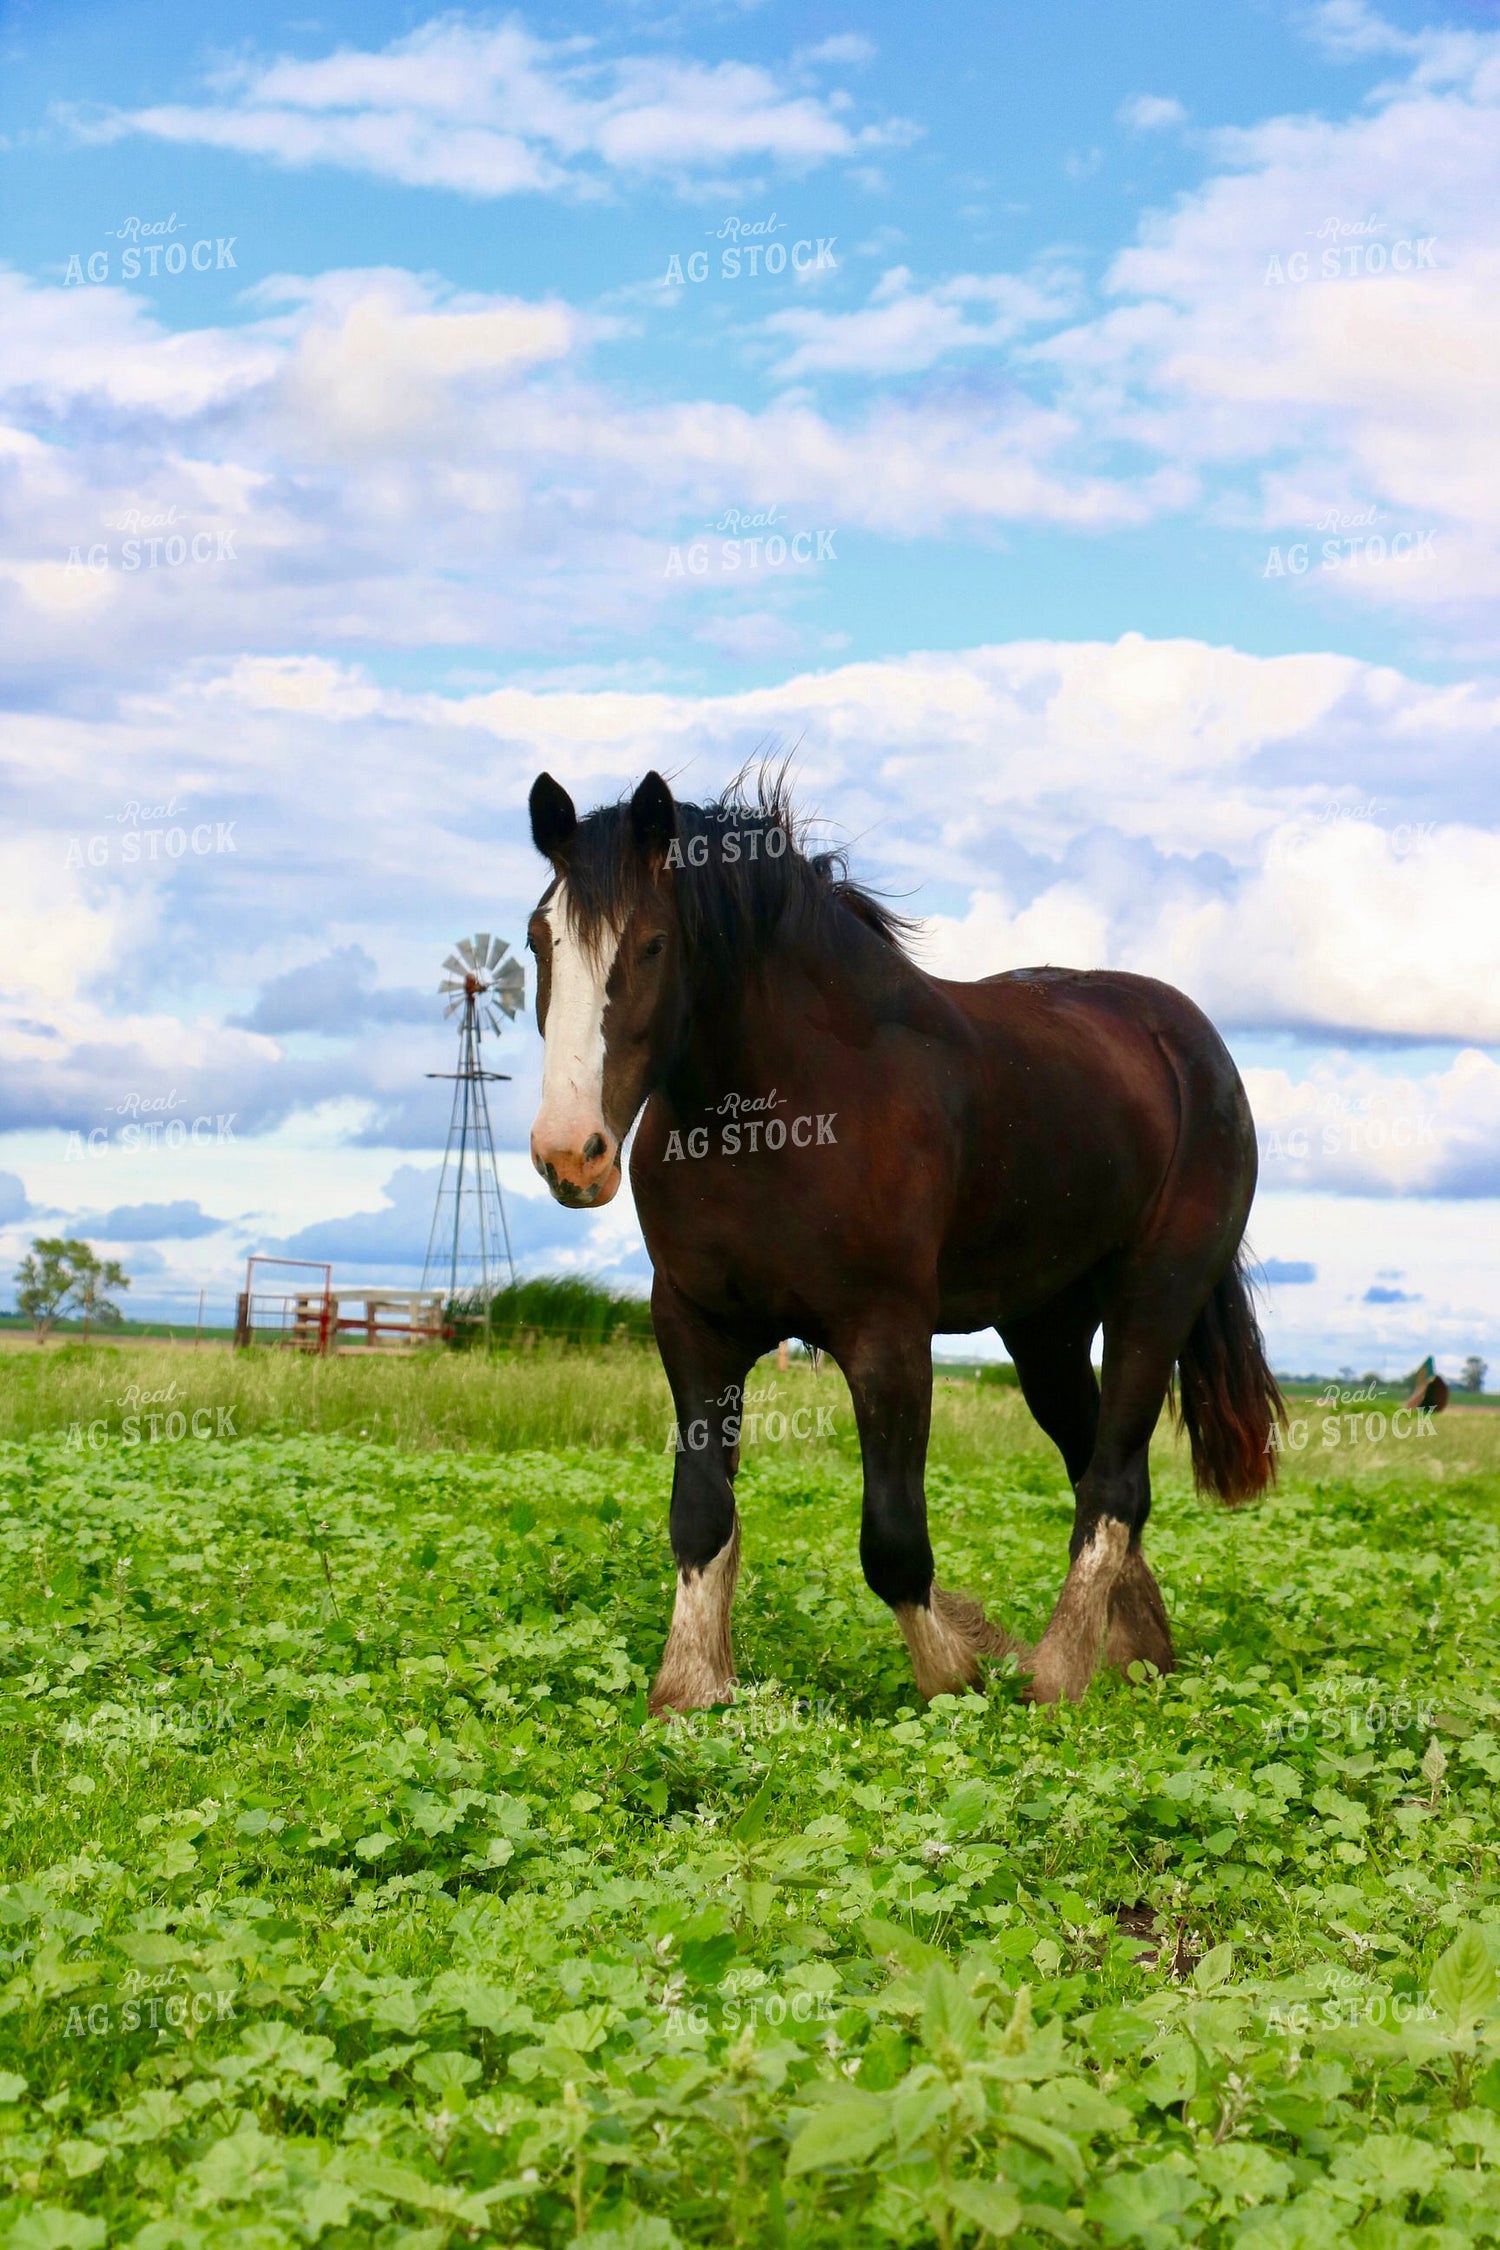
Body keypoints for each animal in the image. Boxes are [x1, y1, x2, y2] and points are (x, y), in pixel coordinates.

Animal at [524, 768, 1283, 1710]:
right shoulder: (694, 1326)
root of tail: (1188, 1042)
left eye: (655, 944)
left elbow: (891, 1539)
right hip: (1045, 1329)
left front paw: (958, 1668)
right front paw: (690, 1690)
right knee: (1095, 1467)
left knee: (1113, 1483)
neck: (773, 1118)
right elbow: (700, 1515)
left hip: (1157, 1297)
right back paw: (1137, 1654)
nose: (571, 1153)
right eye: (539, 942)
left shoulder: (885, 1336)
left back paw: (1056, 1674)